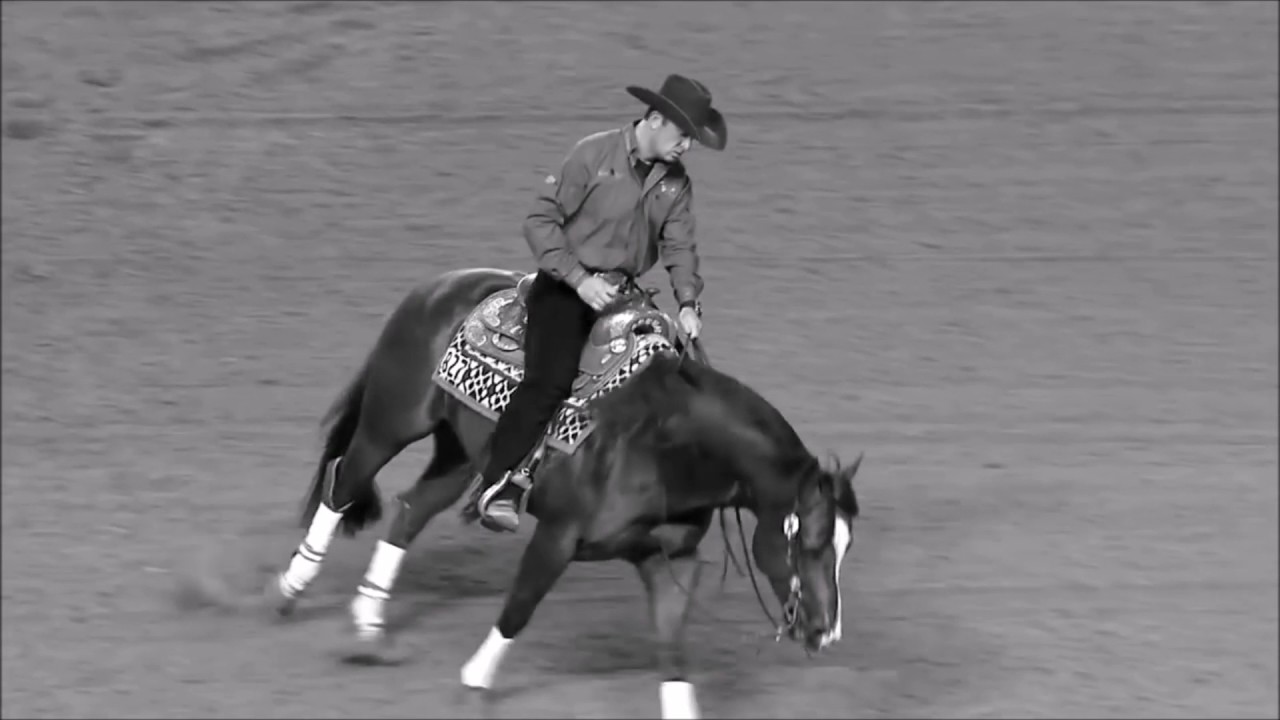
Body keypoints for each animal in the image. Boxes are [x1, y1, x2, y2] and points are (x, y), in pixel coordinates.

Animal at [265, 267, 863, 719]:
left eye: (844, 548)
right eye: (808, 541)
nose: (825, 631)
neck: (666, 440)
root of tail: (440, 285)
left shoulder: (671, 560)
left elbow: (672, 652)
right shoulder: (557, 538)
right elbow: (518, 610)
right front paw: (473, 686)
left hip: (462, 454)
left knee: (410, 510)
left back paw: (368, 625)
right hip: (392, 421)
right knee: (344, 482)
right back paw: (292, 587)